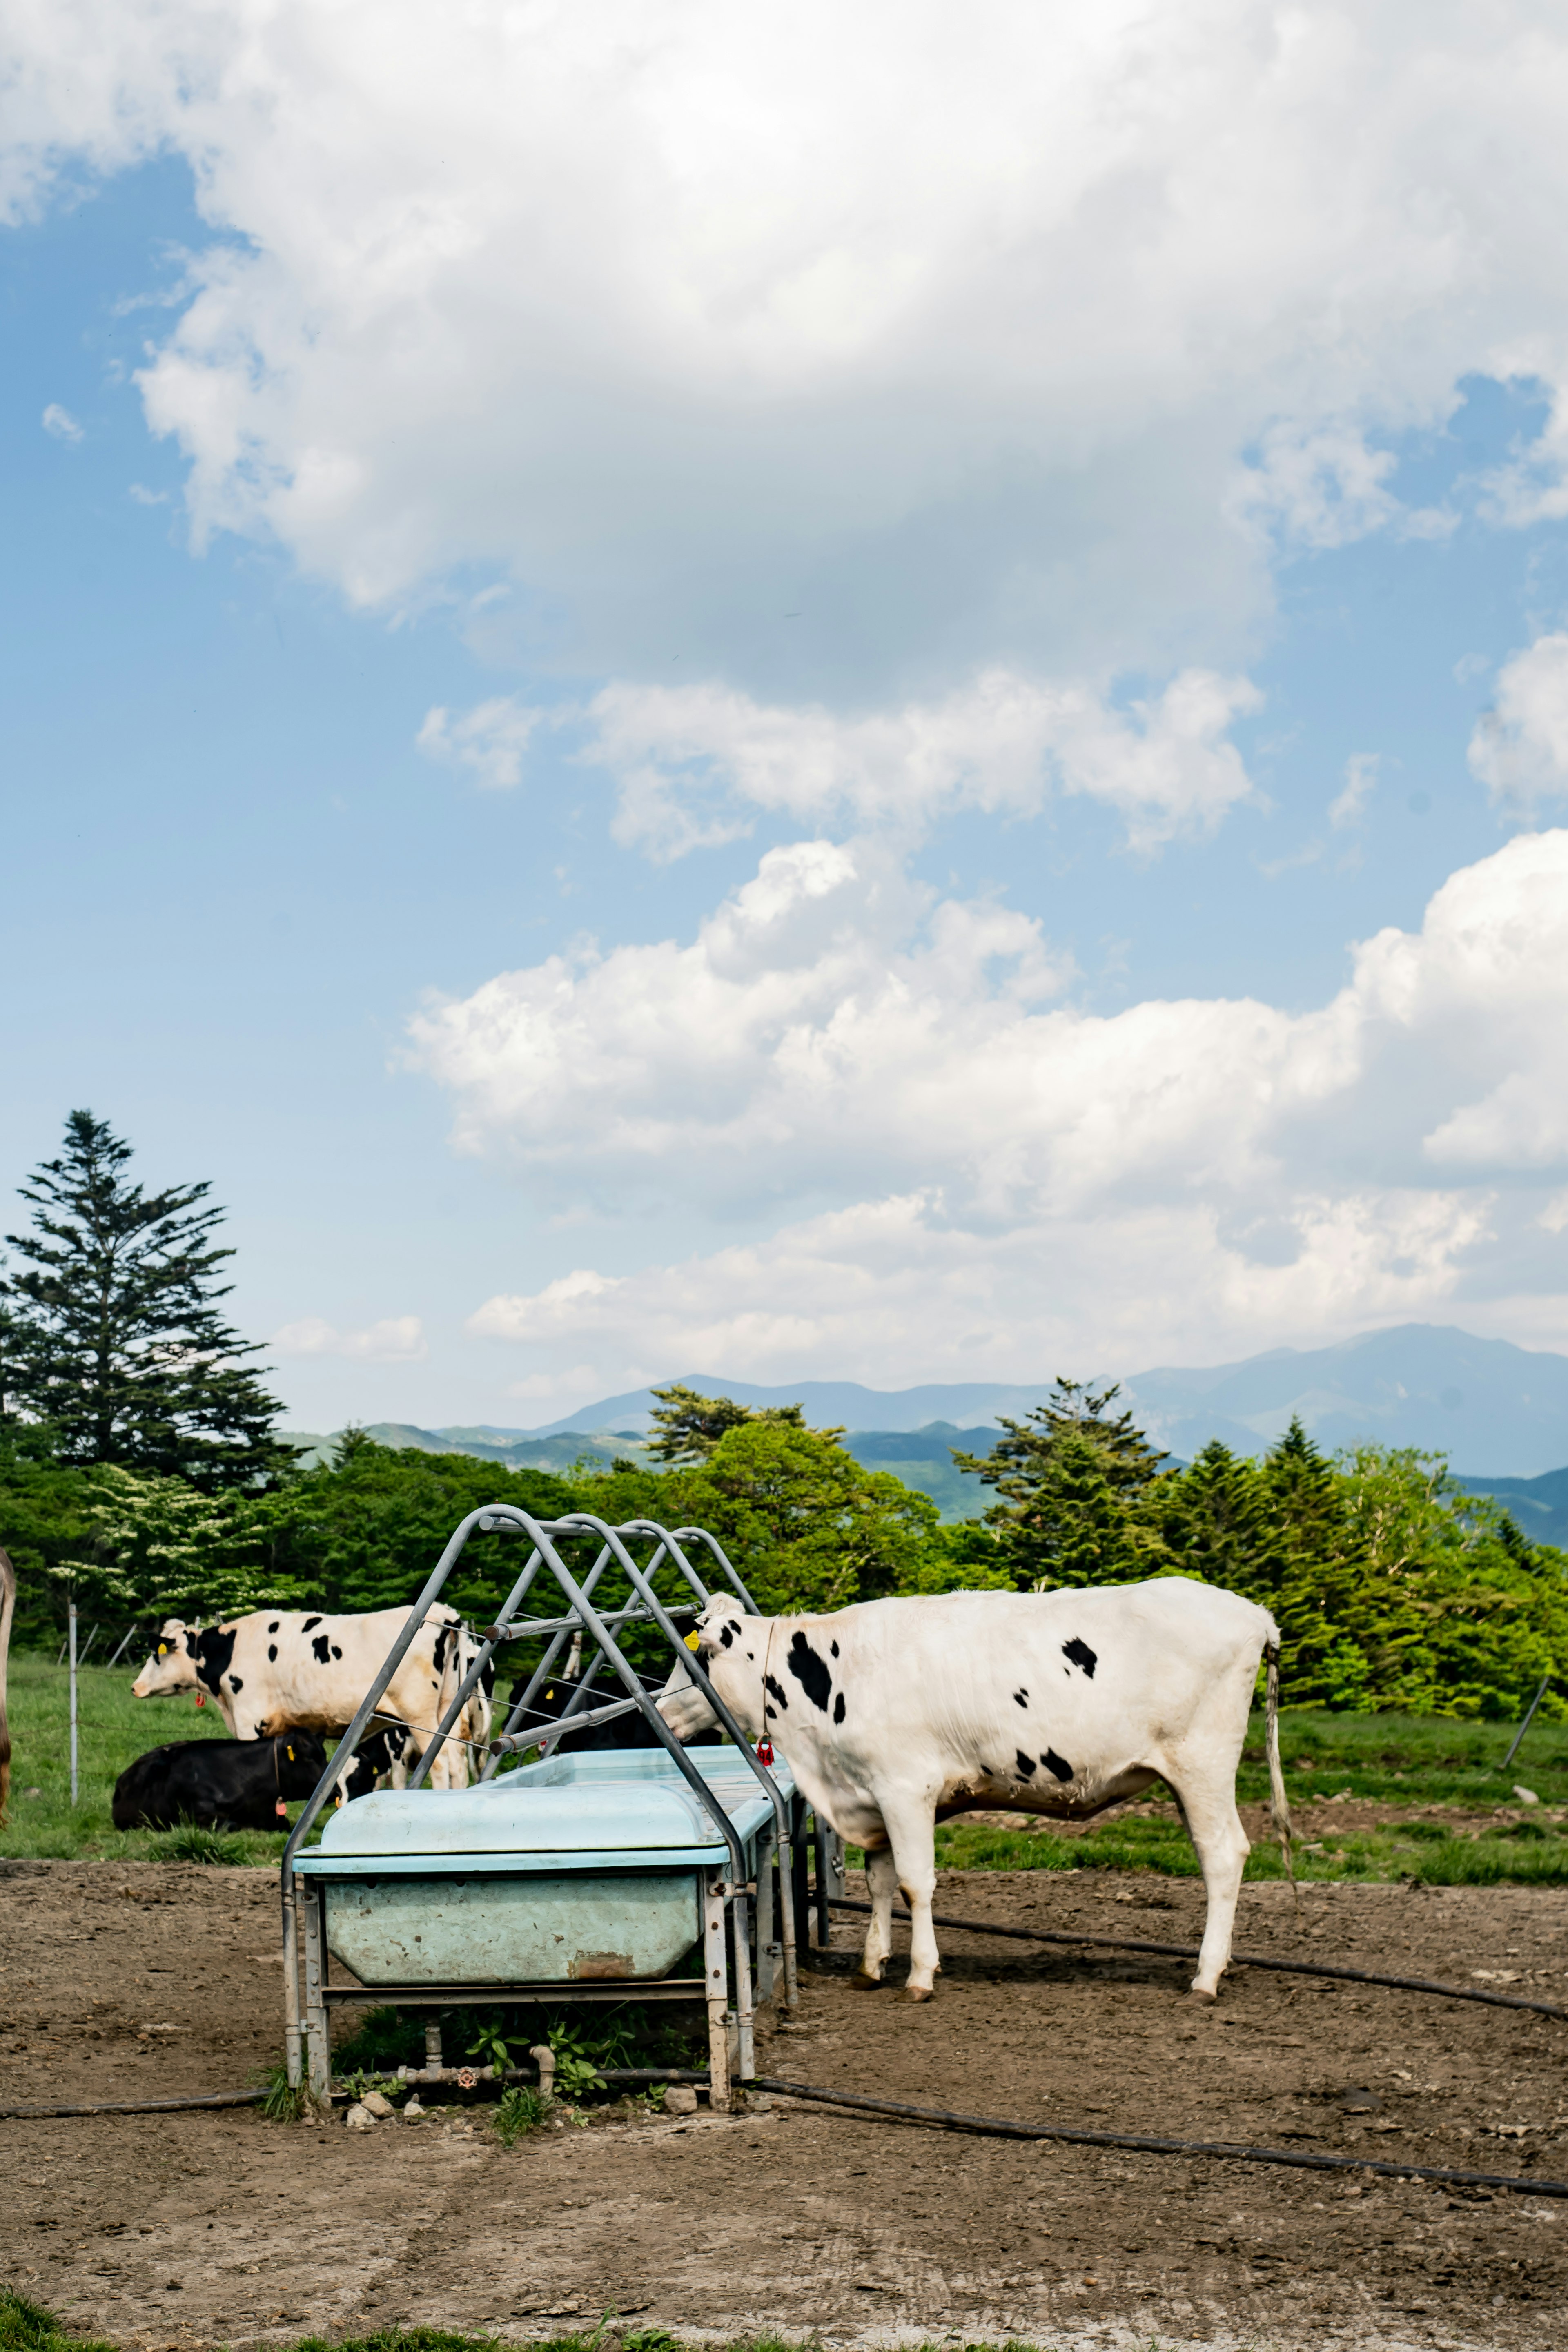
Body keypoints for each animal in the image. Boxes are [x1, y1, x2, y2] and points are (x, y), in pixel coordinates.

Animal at [133, 1608, 493, 1787]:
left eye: (156, 1656)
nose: (135, 1688)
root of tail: (445, 1614)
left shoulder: (249, 1720)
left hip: (420, 1716)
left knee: (441, 1762)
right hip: (448, 1710)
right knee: (458, 1762)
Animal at [658, 1580, 1288, 2004]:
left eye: (696, 1656)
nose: (658, 1710)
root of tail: (1253, 1613)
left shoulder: (905, 1788)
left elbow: (915, 1883)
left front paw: (920, 1975)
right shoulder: (873, 1795)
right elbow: (880, 1880)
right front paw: (871, 1964)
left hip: (1203, 1764)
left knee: (1223, 1856)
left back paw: (1206, 1977)